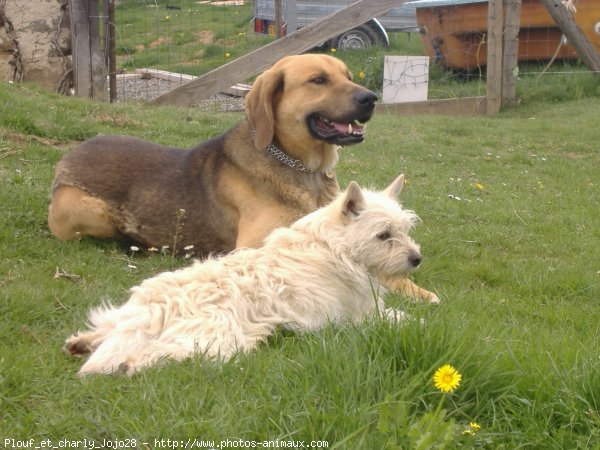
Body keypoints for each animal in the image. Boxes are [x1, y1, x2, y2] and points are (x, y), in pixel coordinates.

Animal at [48, 54, 436, 304]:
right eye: (318, 80)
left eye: (347, 74)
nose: (371, 98)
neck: (301, 169)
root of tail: (69, 156)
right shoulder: (255, 246)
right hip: (90, 211)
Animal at [64, 176, 422, 376]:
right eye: (383, 235)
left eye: (405, 230)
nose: (416, 259)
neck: (335, 246)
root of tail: (158, 307)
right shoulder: (362, 315)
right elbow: (408, 319)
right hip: (217, 341)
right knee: (161, 353)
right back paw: (130, 366)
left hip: (131, 315)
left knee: (108, 328)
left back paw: (82, 342)